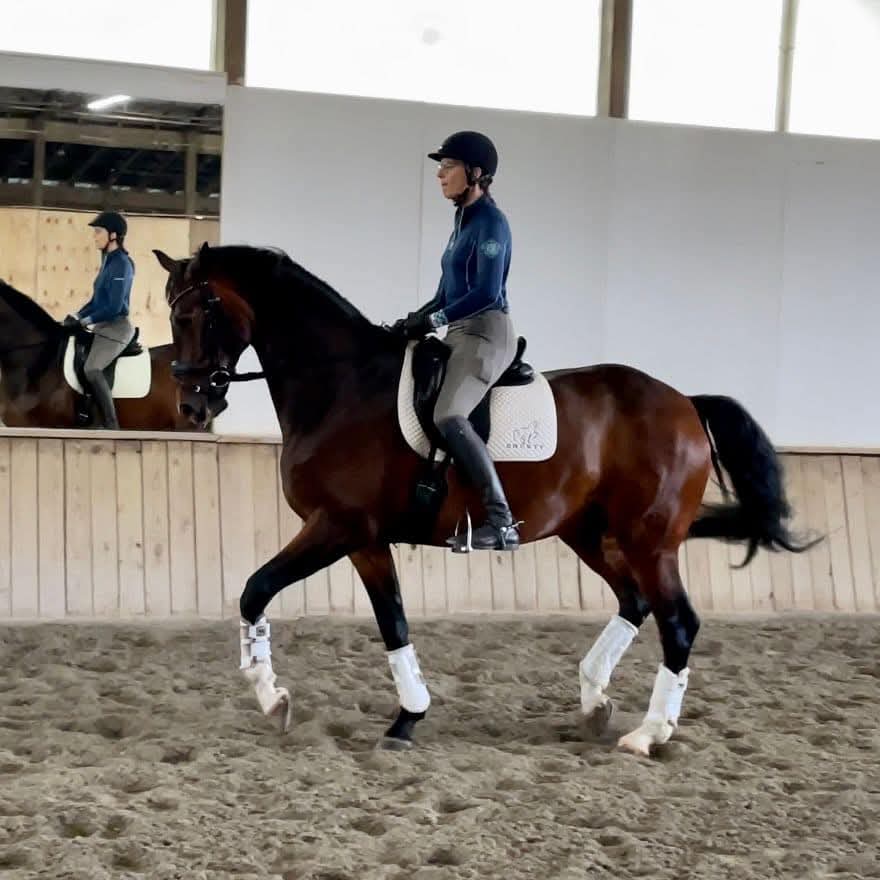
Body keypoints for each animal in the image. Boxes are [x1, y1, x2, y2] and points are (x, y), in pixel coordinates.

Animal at [154, 242, 816, 756]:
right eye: (172, 314)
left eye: (198, 311)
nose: (193, 404)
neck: (341, 385)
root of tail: (684, 402)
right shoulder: (365, 540)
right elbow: (393, 623)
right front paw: (407, 718)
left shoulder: (337, 526)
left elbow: (255, 590)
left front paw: (273, 699)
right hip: (589, 531)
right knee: (634, 602)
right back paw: (593, 701)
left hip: (647, 540)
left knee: (678, 621)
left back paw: (647, 735)